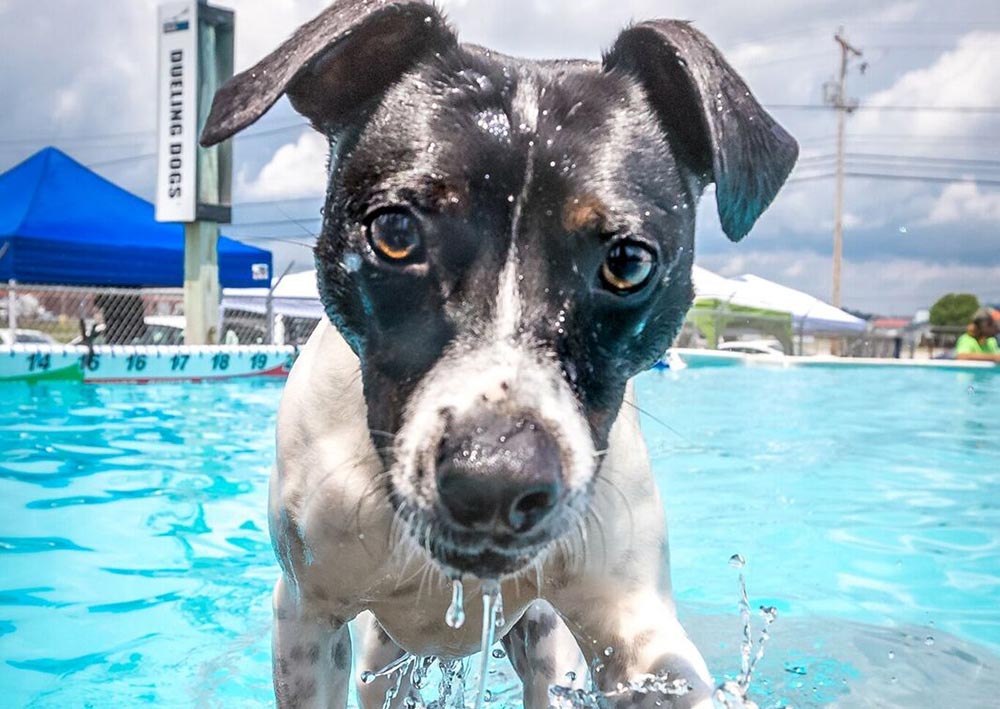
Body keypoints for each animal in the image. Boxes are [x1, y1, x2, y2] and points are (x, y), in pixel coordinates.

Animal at [201, 2, 796, 704]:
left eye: (628, 262)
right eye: (395, 231)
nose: (495, 480)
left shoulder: (633, 626)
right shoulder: (305, 617)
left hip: (543, 642)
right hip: (382, 659)